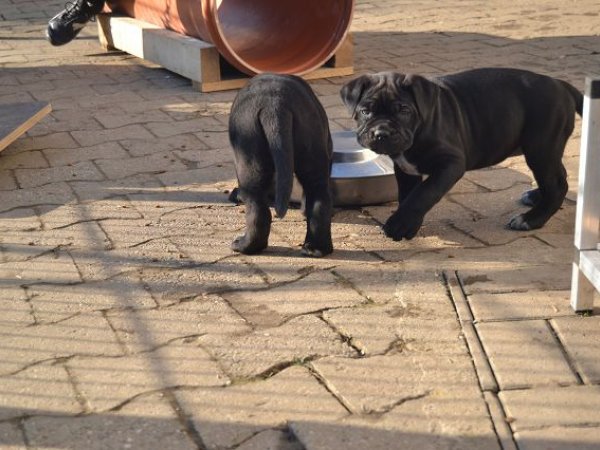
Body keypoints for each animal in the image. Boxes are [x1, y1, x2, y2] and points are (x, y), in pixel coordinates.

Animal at [228, 73, 333, 256]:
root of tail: (275, 106)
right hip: (311, 149)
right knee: (319, 198)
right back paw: (316, 248)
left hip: (248, 158)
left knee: (257, 209)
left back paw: (245, 246)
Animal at [340, 68, 582, 241]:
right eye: (365, 111)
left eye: (404, 110)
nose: (381, 133)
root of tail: (561, 85)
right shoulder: (405, 169)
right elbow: (408, 195)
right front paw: (410, 224)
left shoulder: (451, 163)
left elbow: (424, 193)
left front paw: (399, 224)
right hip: (546, 150)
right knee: (557, 177)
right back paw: (535, 197)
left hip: (541, 147)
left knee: (557, 184)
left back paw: (531, 219)